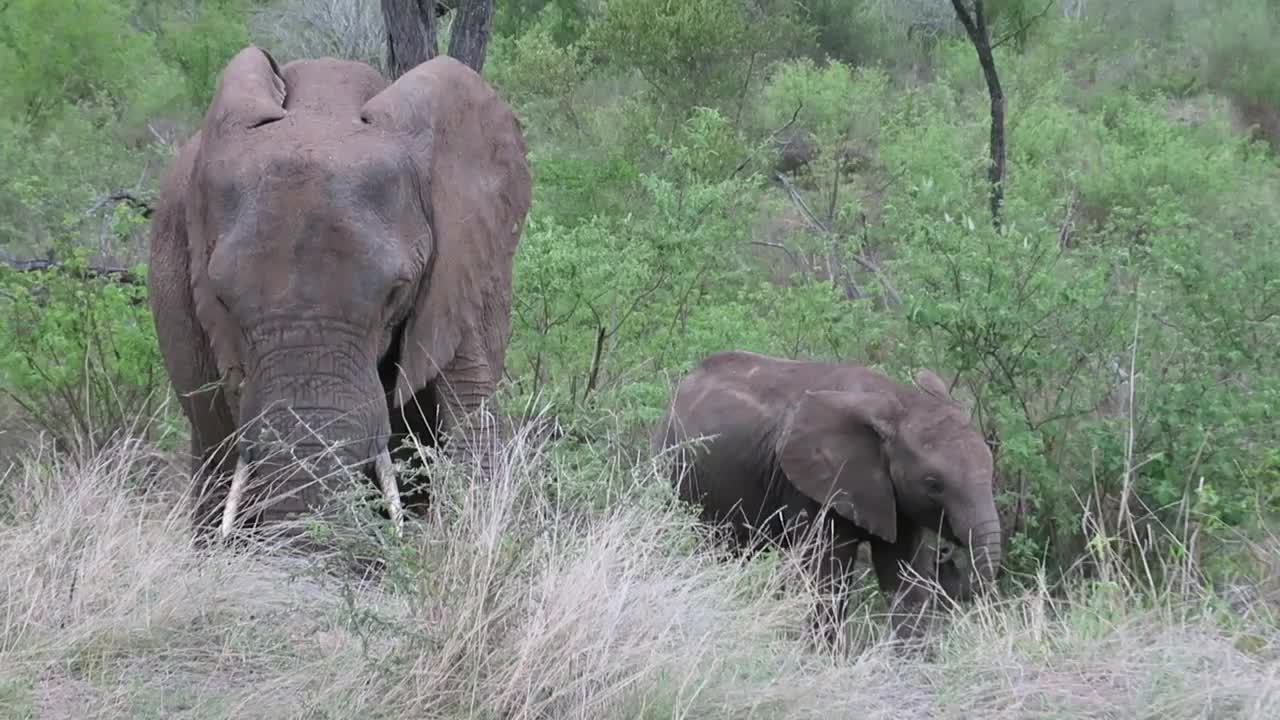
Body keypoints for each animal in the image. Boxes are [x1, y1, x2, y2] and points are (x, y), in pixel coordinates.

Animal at [655, 348, 1003, 638]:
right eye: (933, 484)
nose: (946, 555)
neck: (899, 401)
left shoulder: (894, 497)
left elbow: (905, 576)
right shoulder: (814, 487)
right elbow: (826, 576)